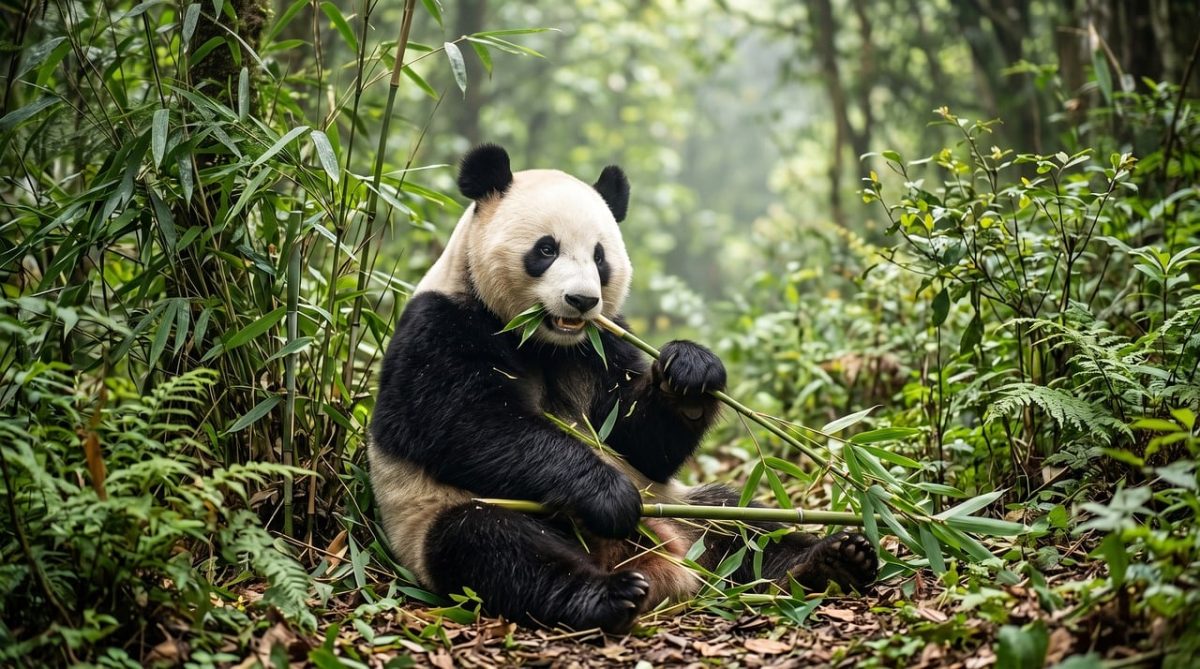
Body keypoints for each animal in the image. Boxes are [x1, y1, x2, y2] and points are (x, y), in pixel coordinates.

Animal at [368, 144, 877, 634]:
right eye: (546, 249)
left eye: (600, 257)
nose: (581, 300)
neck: (544, 341)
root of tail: (665, 567)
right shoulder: (442, 325)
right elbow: (466, 424)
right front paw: (608, 496)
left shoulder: (603, 343)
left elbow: (638, 438)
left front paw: (690, 371)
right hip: (436, 518)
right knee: (494, 546)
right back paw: (606, 596)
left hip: (682, 507)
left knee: (742, 525)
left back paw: (831, 560)